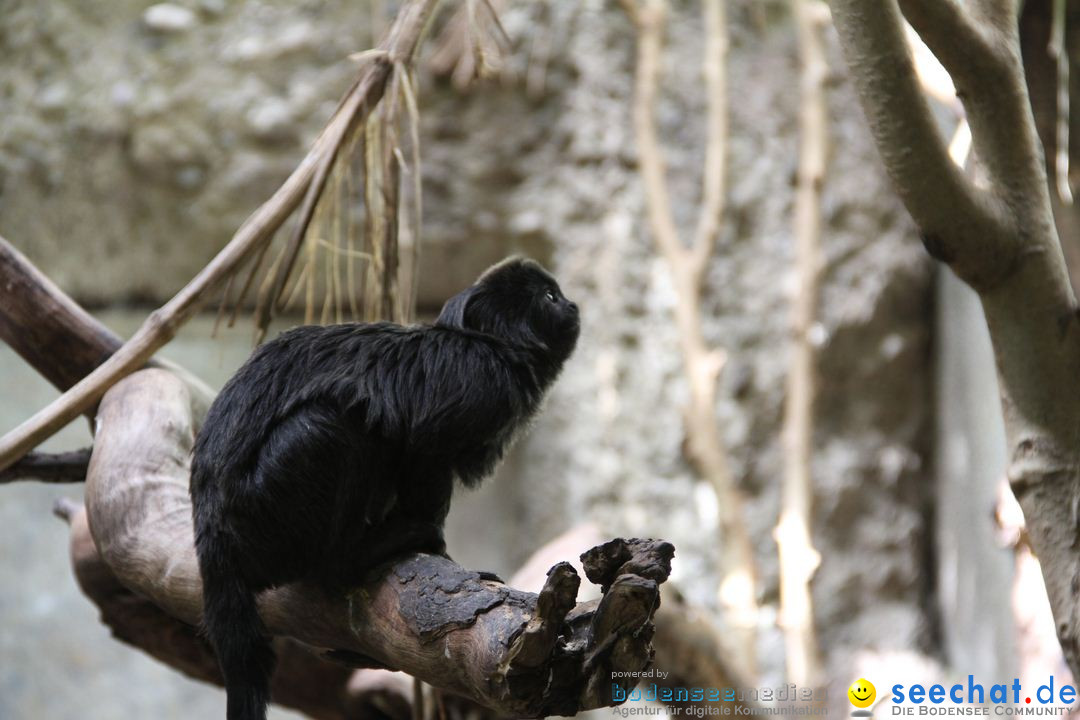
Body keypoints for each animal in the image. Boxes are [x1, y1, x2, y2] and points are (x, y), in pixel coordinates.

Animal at [194, 257, 583, 720]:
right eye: (550, 297)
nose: (572, 305)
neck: (494, 346)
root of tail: (213, 538)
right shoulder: (481, 384)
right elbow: (424, 447)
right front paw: (436, 547)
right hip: (261, 515)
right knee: (327, 424)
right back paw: (353, 556)